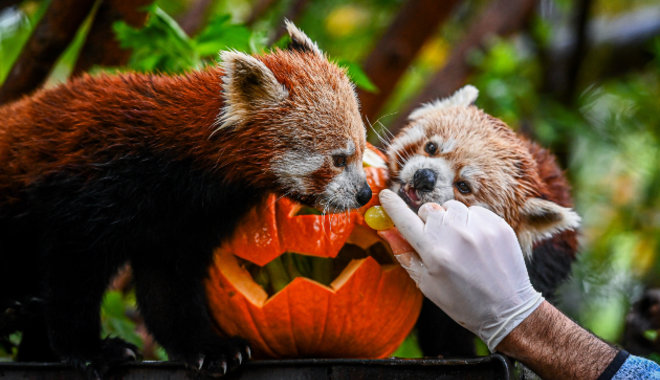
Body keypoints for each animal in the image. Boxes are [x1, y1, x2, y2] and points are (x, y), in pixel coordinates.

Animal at [0, 22, 372, 376]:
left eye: (360, 150)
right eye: (339, 159)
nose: (365, 193)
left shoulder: (181, 222)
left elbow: (168, 287)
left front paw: (206, 349)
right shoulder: (93, 188)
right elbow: (73, 274)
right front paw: (89, 350)